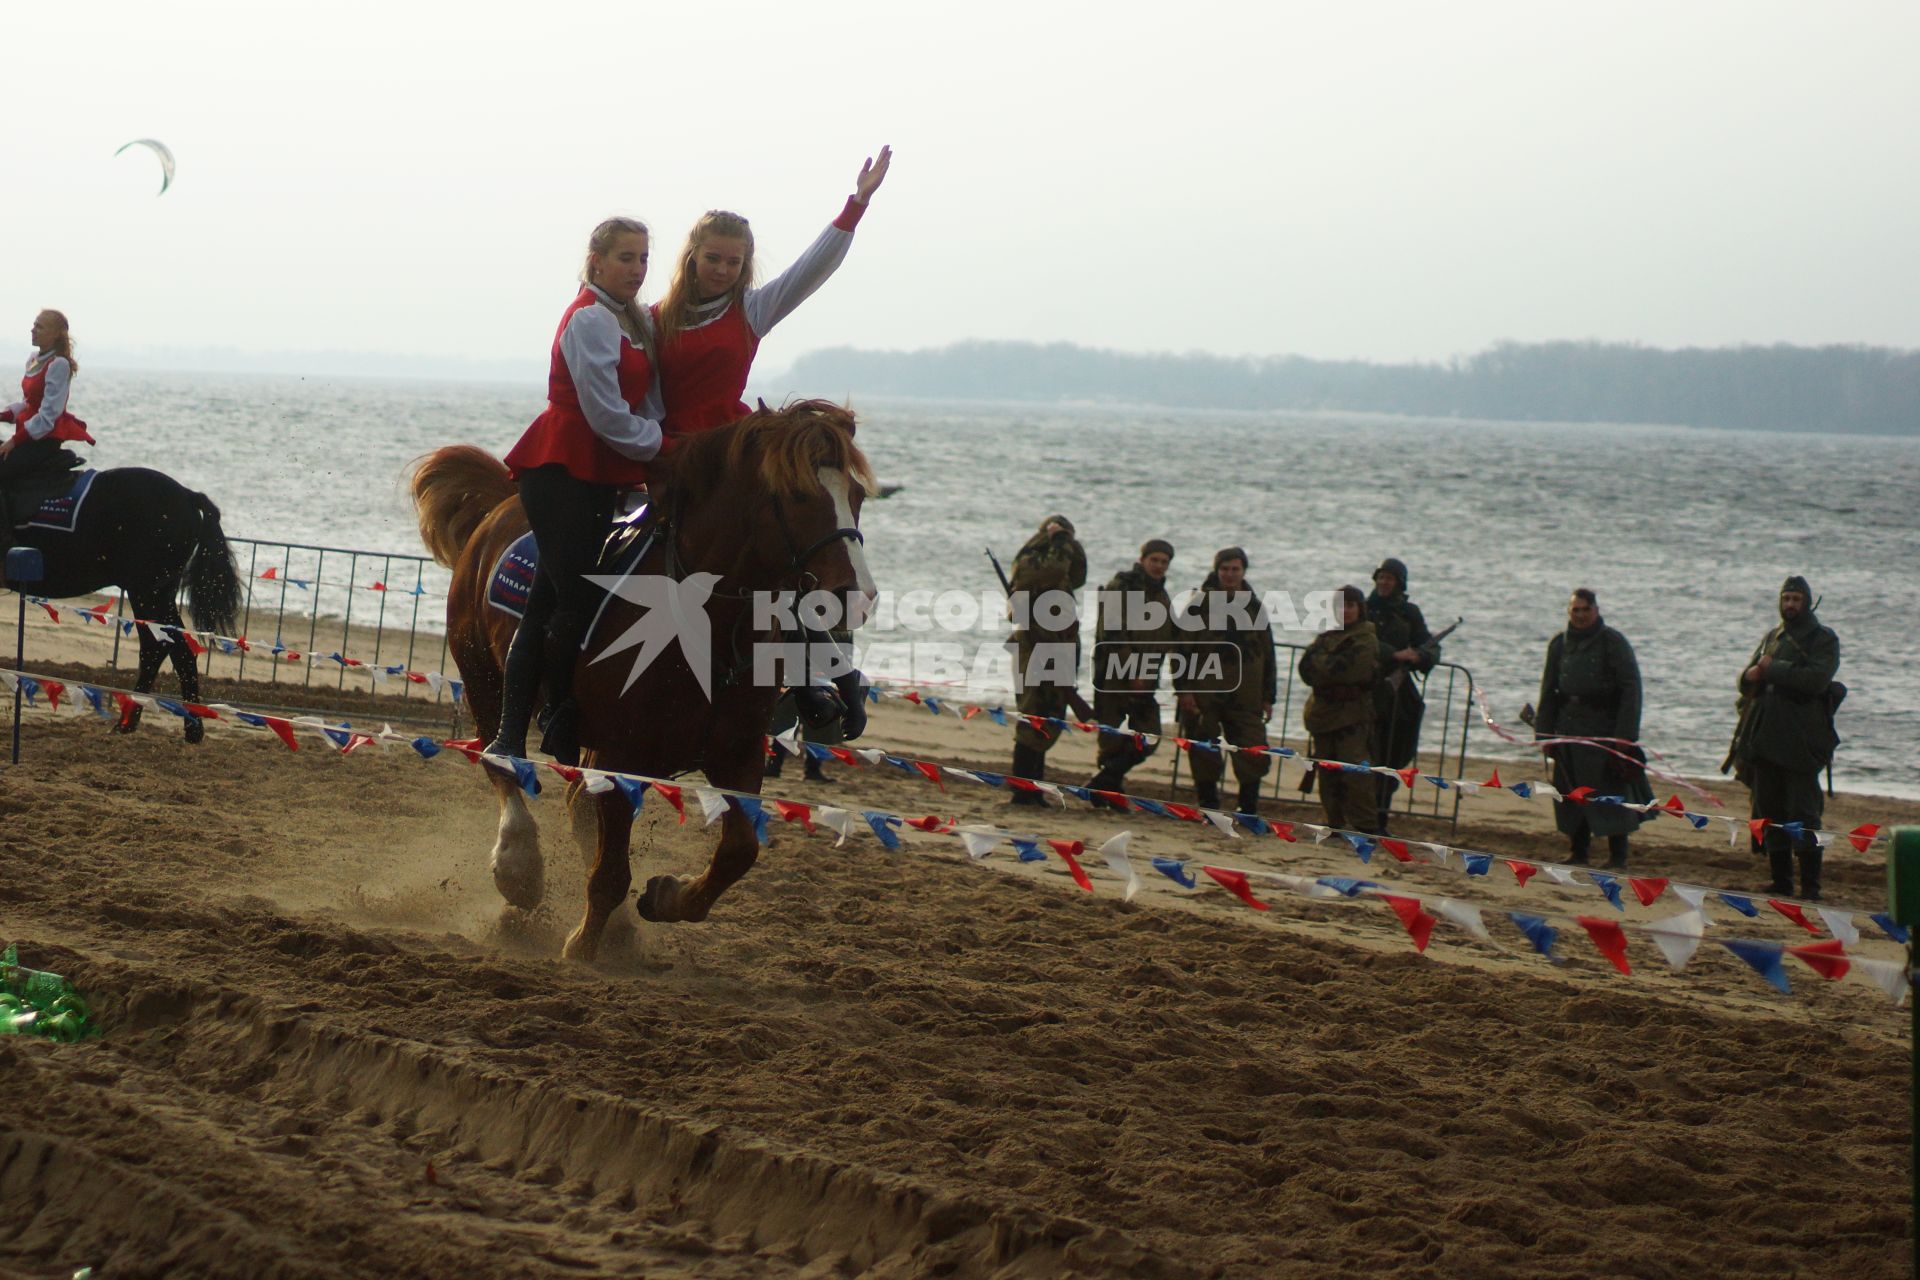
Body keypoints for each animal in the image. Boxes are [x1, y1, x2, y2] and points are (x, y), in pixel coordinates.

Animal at [416, 401, 879, 959]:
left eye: (856, 496)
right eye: (798, 494)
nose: (855, 596)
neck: (704, 626)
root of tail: (497, 511)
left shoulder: (738, 753)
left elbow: (738, 851)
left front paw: (666, 898)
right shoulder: (621, 754)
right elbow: (612, 871)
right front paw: (582, 948)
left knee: (577, 806)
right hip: (483, 676)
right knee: (501, 764)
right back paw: (518, 869)